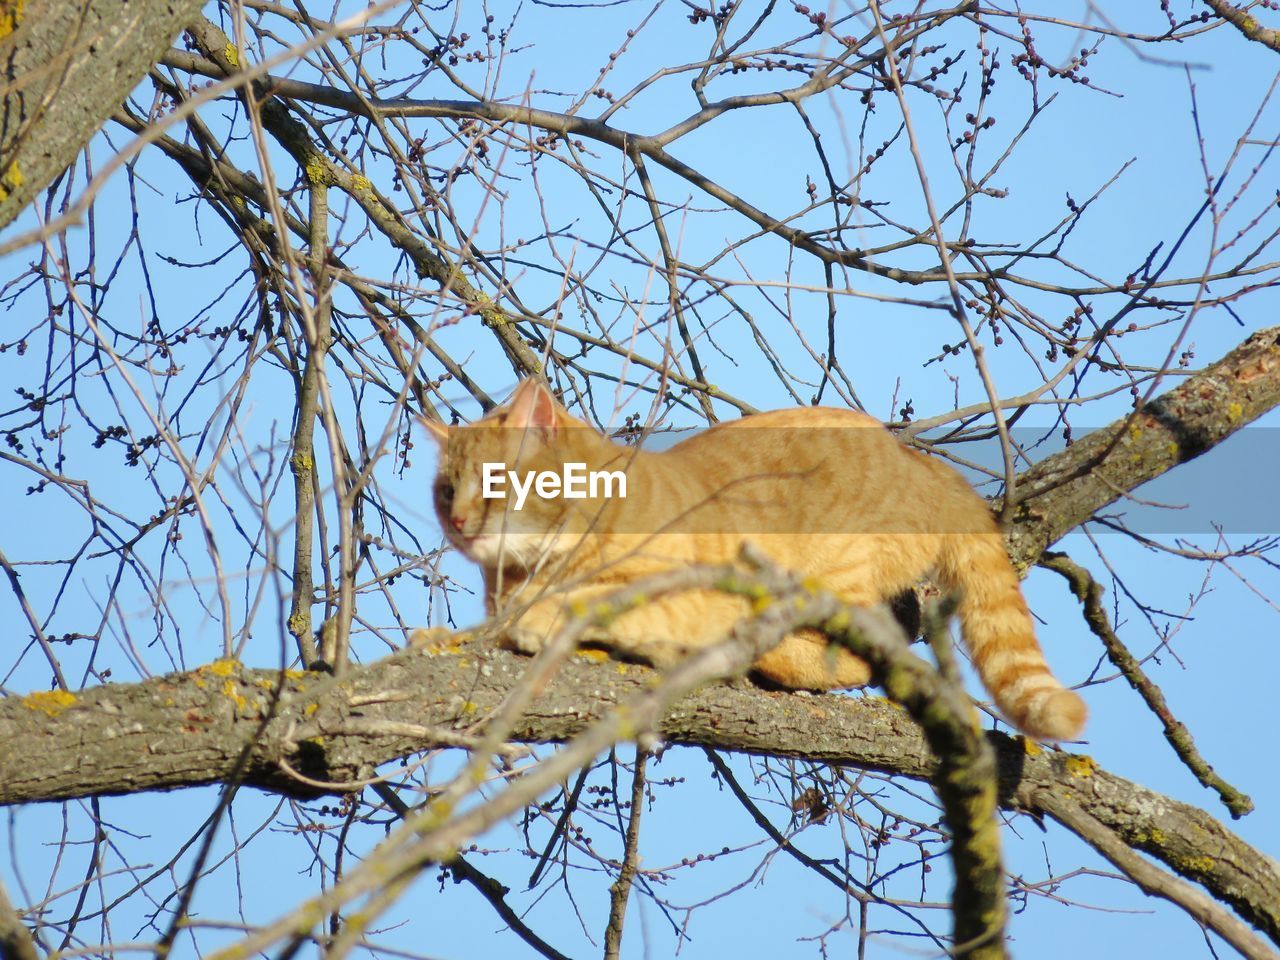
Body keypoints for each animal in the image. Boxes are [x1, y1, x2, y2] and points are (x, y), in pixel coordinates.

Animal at [424, 378, 1085, 742]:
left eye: (493, 480)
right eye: (445, 490)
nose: (457, 523)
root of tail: (919, 460)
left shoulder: (690, 597)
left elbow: (594, 602)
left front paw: (539, 618)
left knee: (859, 656)